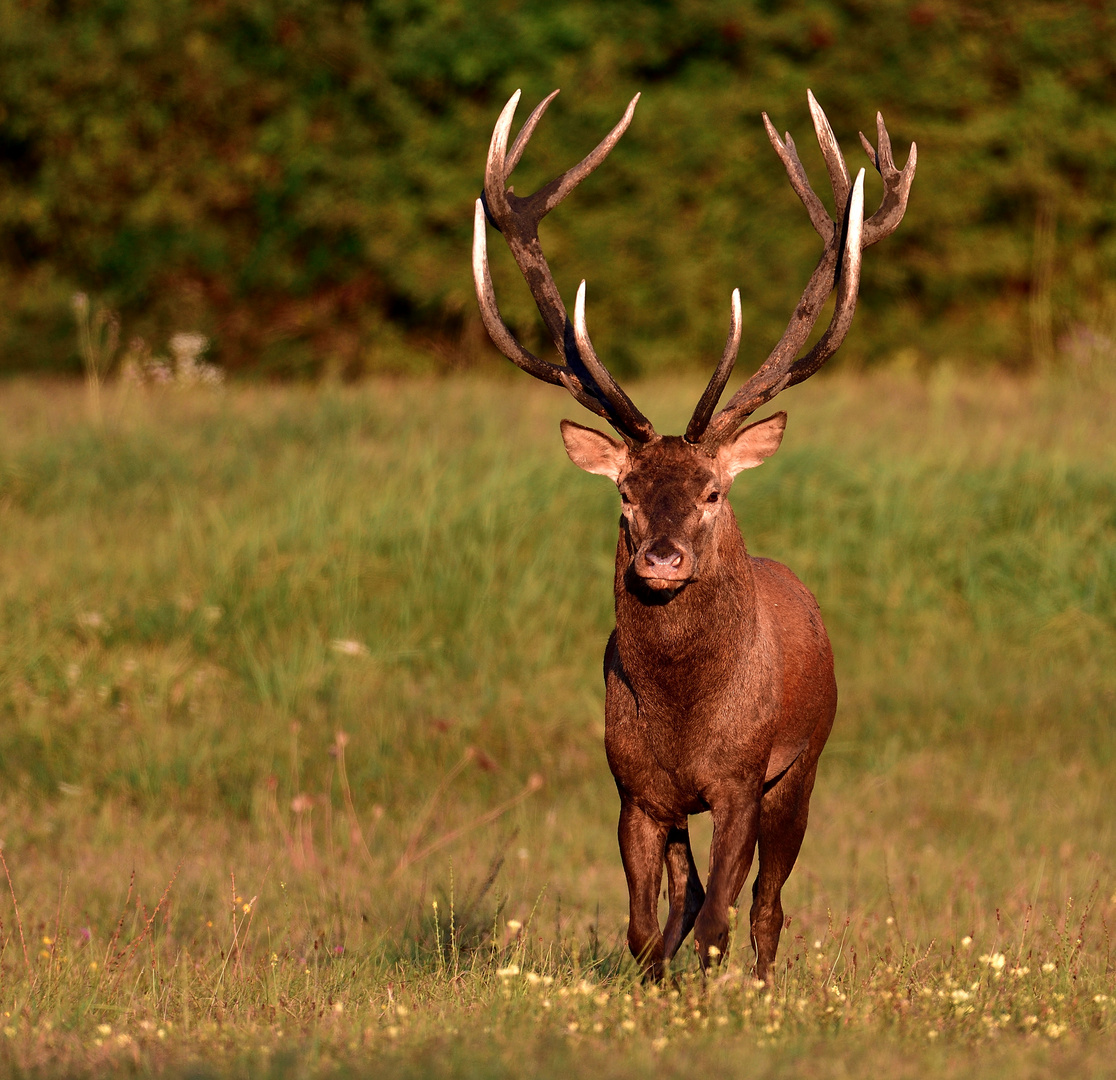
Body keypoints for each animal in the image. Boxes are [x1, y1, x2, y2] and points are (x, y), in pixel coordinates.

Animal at [470, 88, 915, 981]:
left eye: (713, 491)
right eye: (627, 492)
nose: (662, 558)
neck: (685, 718)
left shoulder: (743, 776)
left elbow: (721, 919)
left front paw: (715, 990)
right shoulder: (635, 787)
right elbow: (647, 928)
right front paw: (656, 992)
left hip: (806, 763)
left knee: (767, 905)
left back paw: (763, 983)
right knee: (691, 894)